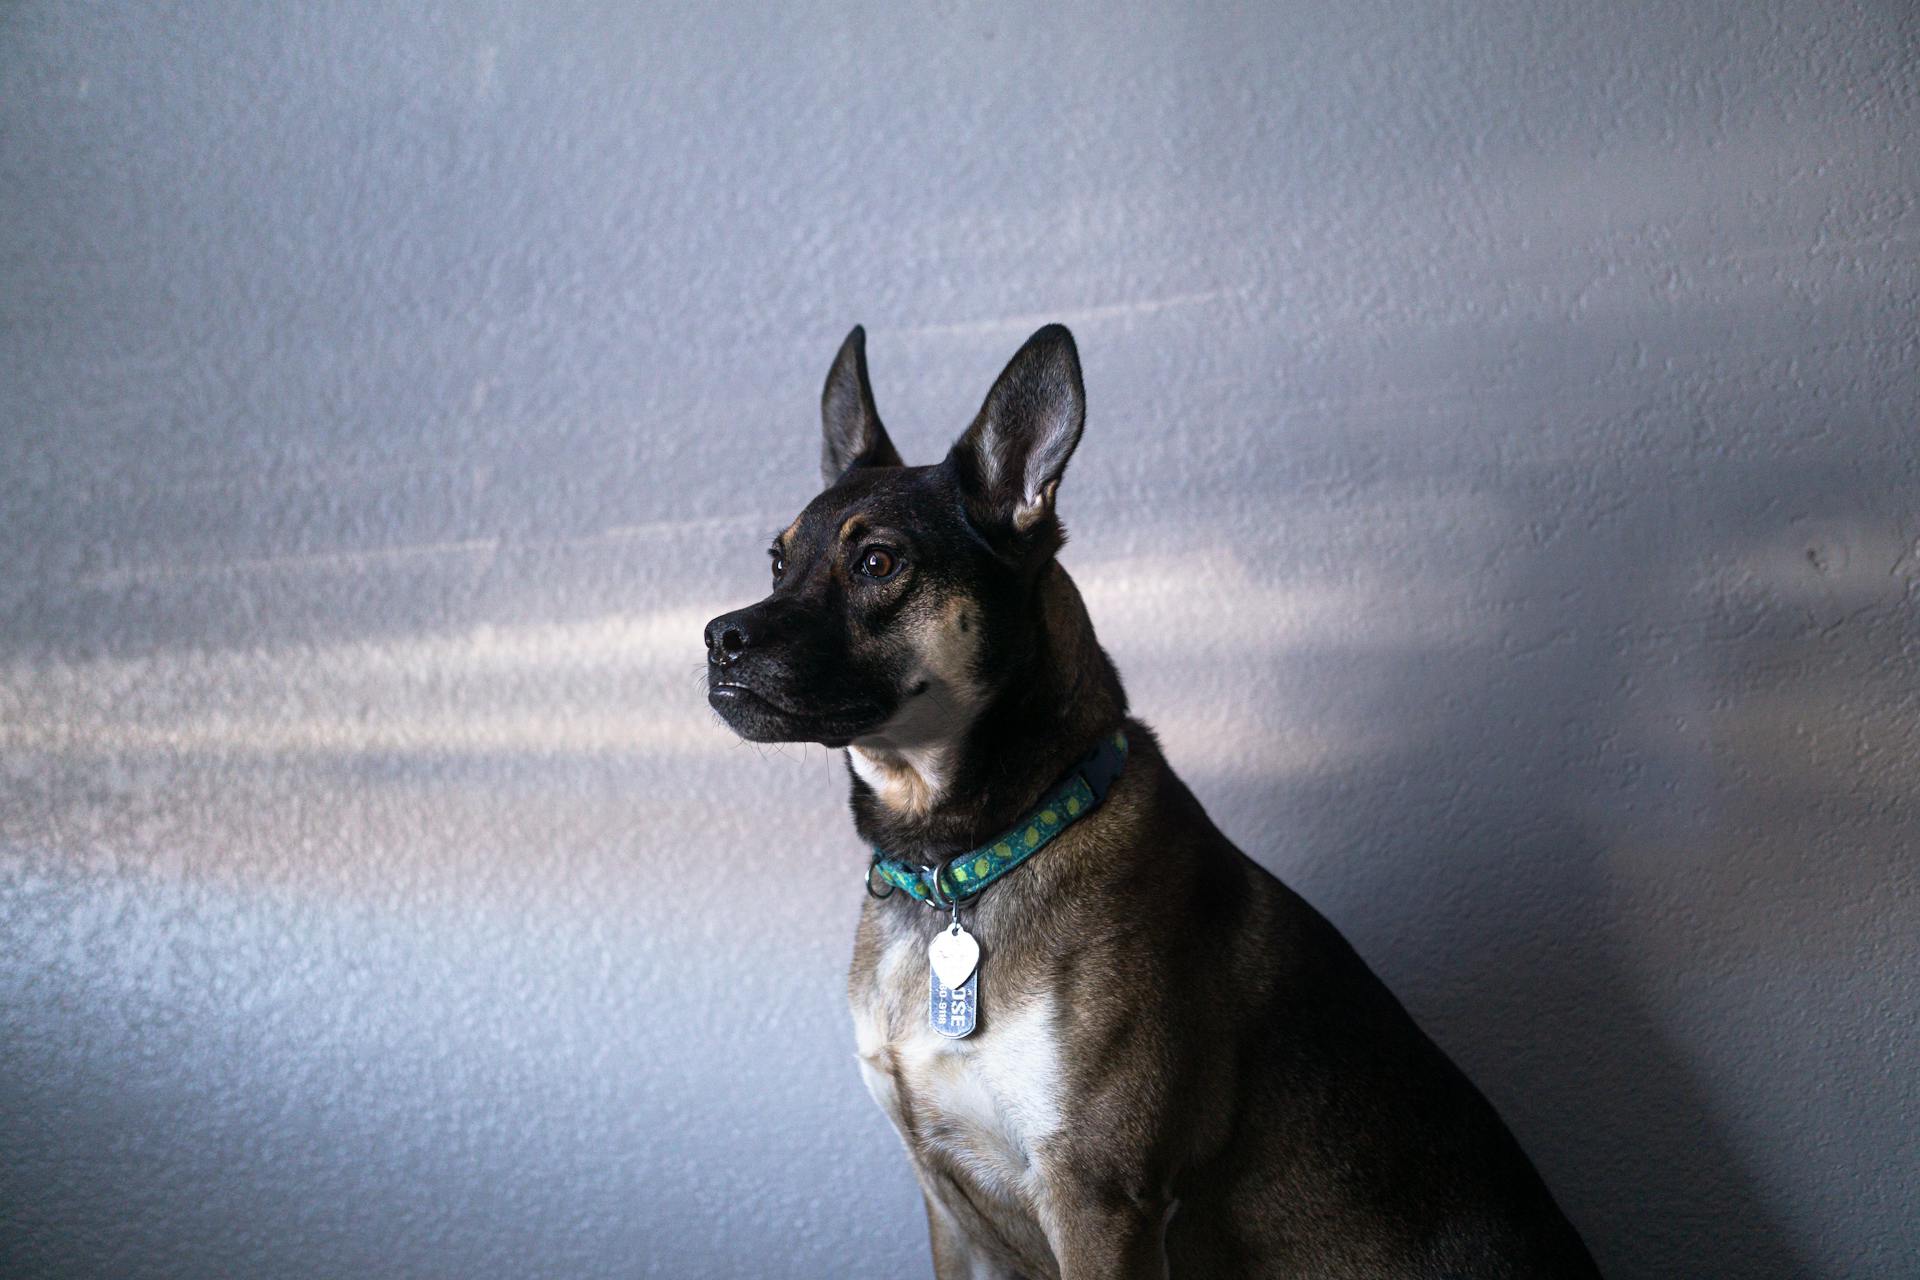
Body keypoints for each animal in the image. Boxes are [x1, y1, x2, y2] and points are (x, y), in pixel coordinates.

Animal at [706, 326, 1605, 1274]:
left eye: (878, 562)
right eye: (777, 560)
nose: (718, 638)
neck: (958, 856)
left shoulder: (1099, 1199)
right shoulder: (953, 1216)